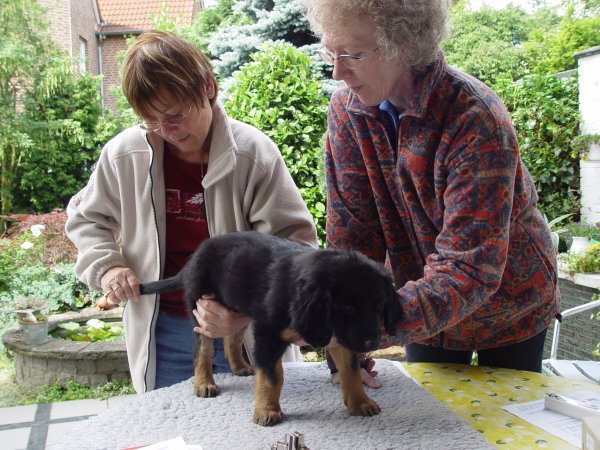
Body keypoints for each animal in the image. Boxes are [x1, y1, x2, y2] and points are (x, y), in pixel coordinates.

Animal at [139, 232, 404, 426]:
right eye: (348, 307)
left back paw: (240, 367)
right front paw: (267, 411)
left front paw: (360, 402)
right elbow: (272, 376)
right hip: (202, 307)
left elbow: (351, 371)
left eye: (379, 305)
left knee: (232, 338)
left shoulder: (340, 338)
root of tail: (193, 260)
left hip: (237, 309)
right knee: (203, 349)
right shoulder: (269, 333)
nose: (373, 343)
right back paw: (204, 383)